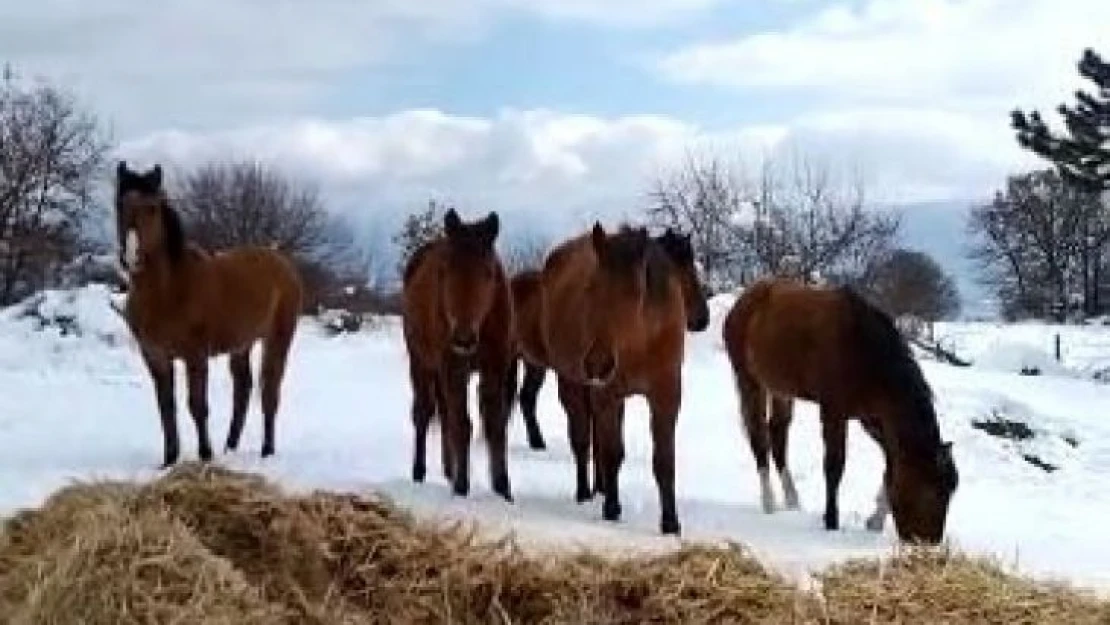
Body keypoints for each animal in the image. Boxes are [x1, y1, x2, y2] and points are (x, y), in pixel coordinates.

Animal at [114, 160, 304, 470]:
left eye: (152, 208)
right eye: (119, 205)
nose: (131, 257)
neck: (170, 290)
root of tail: (281, 261)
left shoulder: (196, 356)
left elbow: (197, 406)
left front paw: (205, 455)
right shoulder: (156, 357)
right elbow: (166, 407)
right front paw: (169, 460)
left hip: (278, 339)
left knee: (269, 392)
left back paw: (266, 450)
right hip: (242, 345)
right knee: (243, 390)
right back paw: (230, 447)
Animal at [404, 207, 515, 501]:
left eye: (488, 273)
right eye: (445, 271)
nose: (463, 338)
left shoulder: (495, 368)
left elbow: (495, 425)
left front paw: (503, 489)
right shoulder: (453, 368)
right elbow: (462, 425)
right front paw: (462, 488)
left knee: (445, 415)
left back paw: (448, 470)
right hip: (420, 363)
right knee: (424, 413)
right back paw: (419, 473)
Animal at [528, 222, 701, 535]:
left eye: (636, 293)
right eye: (591, 290)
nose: (597, 364)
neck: (640, 341)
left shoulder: (667, 395)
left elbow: (663, 460)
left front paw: (670, 521)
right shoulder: (608, 394)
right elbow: (612, 452)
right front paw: (612, 508)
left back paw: (601, 487)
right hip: (572, 384)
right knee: (582, 440)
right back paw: (585, 492)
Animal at [723, 277, 959, 543]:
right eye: (933, 491)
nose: (928, 544)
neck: (863, 350)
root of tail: (745, 300)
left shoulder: (874, 419)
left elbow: (890, 467)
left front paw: (875, 521)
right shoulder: (834, 412)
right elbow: (835, 466)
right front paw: (831, 521)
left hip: (781, 390)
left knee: (778, 434)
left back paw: (792, 500)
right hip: (749, 381)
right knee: (759, 436)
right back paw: (769, 502)